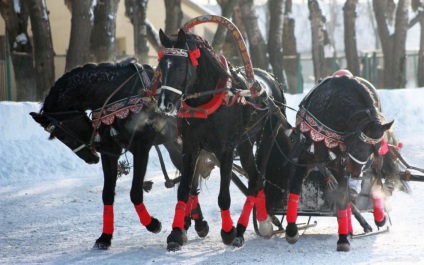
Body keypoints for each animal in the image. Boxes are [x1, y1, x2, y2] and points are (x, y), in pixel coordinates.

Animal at [29, 58, 208, 250]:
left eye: (61, 134)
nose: (91, 157)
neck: (118, 97)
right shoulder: (110, 152)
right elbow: (107, 193)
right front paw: (105, 237)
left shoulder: (141, 148)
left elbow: (135, 192)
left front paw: (152, 224)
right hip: (172, 143)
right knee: (188, 175)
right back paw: (190, 223)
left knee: (191, 177)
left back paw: (194, 224)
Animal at [155, 28, 292, 250]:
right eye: (161, 66)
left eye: (180, 67)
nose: (164, 104)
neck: (205, 102)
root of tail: (271, 78)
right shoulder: (190, 148)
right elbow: (184, 189)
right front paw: (176, 233)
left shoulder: (226, 149)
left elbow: (223, 196)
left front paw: (228, 232)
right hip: (245, 144)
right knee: (255, 176)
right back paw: (260, 223)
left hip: (267, 136)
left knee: (257, 178)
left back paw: (249, 228)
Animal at [282, 71, 394, 250]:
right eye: (358, 146)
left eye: (374, 150)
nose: (355, 171)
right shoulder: (307, 155)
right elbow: (295, 186)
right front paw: (291, 230)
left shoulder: (341, 162)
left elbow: (343, 197)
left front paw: (343, 238)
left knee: (372, 179)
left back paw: (377, 217)